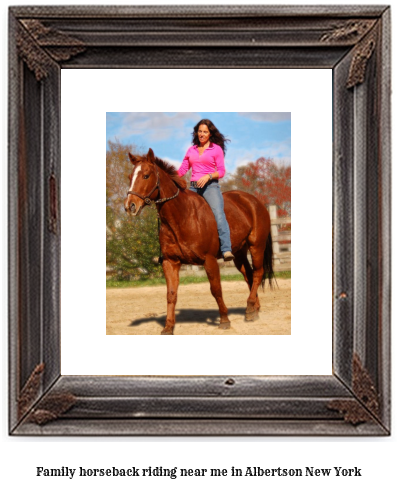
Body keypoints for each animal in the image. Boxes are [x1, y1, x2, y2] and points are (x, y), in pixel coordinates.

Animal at [125, 149, 276, 334]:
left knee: (258, 273)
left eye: (146, 176)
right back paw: (253, 309)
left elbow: (216, 290)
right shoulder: (170, 262)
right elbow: (171, 294)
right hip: (239, 252)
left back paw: (250, 307)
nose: (130, 206)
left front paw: (224, 320)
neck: (183, 216)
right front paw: (168, 327)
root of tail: (255, 202)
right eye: (130, 176)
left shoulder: (209, 260)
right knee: (249, 275)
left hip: (256, 247)